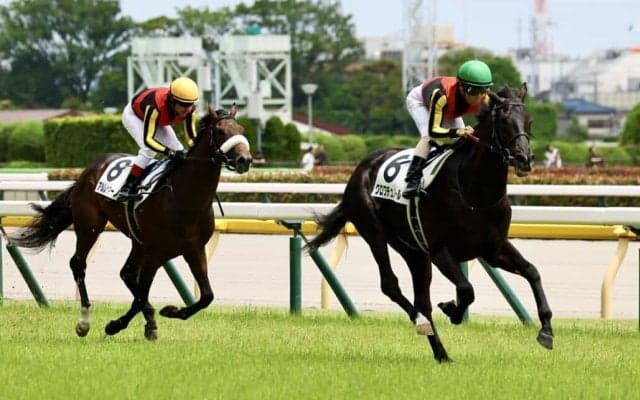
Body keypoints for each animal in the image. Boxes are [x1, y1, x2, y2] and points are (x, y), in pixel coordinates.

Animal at [10, 105, 252, 340]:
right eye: (220, 132)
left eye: (241, 129)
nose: (245, 160)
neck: (186, 199)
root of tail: (89, 170)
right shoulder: (155, 253)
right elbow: (141, 296)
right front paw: (115, 325)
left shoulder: (194, 249)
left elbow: (206, 296)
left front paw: (170, 312)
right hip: (90, 226)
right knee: (79, 264)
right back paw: (85, 322)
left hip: (137, 241)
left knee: (125, 273)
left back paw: (149, 318)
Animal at [305, 83, 553, 362]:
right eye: (503, 122)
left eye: (529, 121)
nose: (524, 159)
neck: (474, 193)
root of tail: (362, 167)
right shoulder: (440, 250)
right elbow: (466, 289)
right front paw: (452, 310)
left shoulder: (494, 249)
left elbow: (532, 272)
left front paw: (546, 331)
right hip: (375, 232)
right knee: (391, 286)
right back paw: (421, 322)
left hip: (412, 250)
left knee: (421, 298)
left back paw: (441, 353)